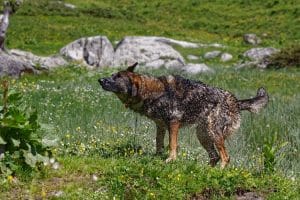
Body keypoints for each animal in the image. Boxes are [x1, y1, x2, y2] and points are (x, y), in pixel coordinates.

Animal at [99, 63, 270, 168]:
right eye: (112, 75)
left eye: (117, 78)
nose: (100, 79)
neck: (155, 92)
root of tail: (237, 101)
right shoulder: (160, 126)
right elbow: (159, 143)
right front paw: (157, 157)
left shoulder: (173, 123)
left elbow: (172, 144)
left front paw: (170, 159)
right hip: (203, 135)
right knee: (214, 157)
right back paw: (204, 171)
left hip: (213, 133)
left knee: (225, 157)